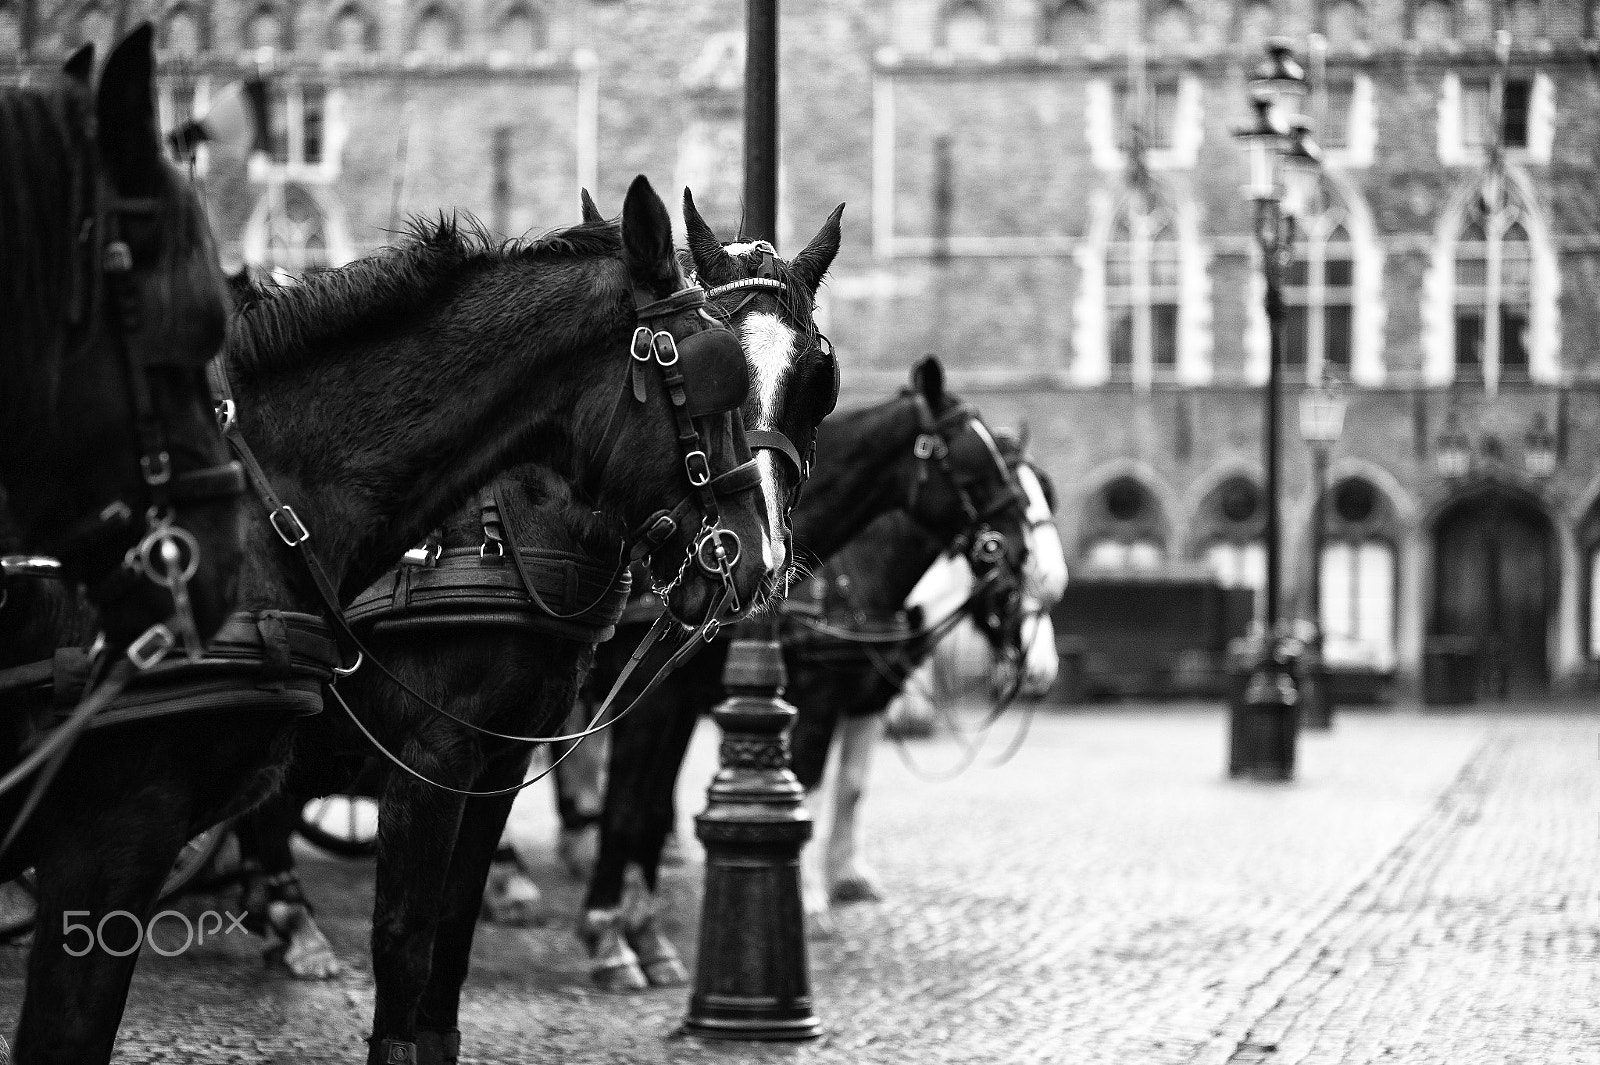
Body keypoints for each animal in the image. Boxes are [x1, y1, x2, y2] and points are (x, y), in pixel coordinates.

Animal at [0, 174, 774, 1061]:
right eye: (715, 377)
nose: (759, 556)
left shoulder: (499, 756)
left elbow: (450, 932)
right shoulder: (413, 758)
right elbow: (405, 942)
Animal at [576, 356, 1036, 985]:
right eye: (974, 464)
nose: (1020, 552)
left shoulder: (681, 697)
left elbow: (645, 813)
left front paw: (645, 935)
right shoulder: (667, 702)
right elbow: (625, 812)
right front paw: (608, 936)